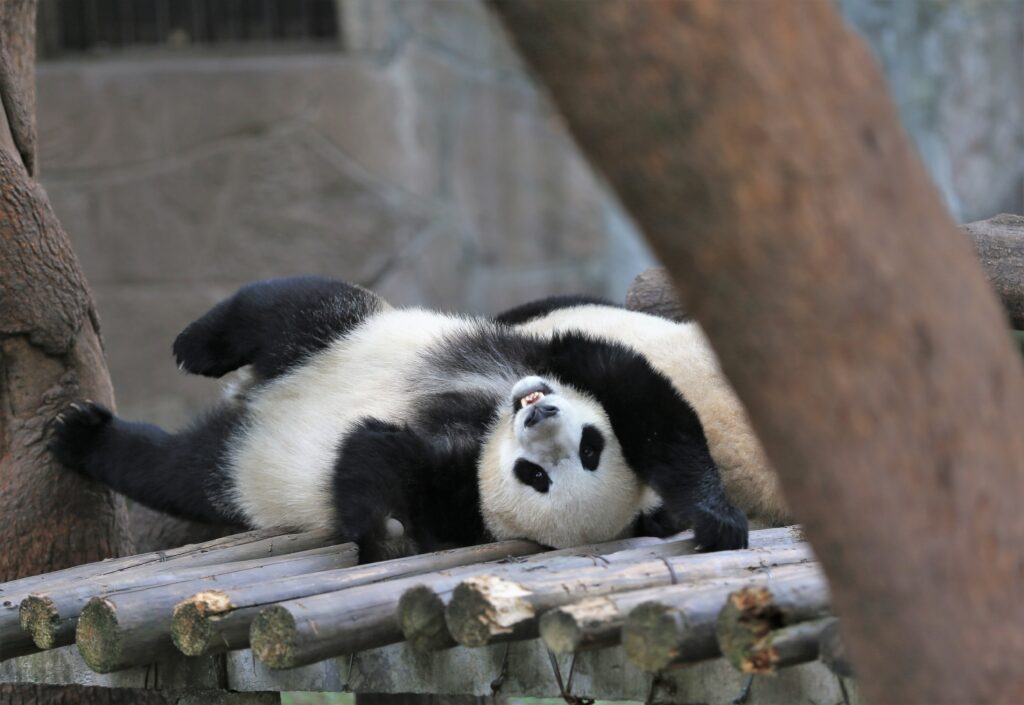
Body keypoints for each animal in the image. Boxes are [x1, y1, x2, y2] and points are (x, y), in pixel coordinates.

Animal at [50, 277, 748, 562]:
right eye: (593, 444)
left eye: (540, 478)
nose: (540, 411)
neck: (484, 423)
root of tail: (255, 400)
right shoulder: (551, 351)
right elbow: (648, 406)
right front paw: (716, 518)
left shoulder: (454, 501)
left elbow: (374, 456)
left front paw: (378, 530)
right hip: (344, 331)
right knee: (287, 307)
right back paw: (195, 348)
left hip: (238, 468)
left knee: (176, 471)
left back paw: (86, 438)